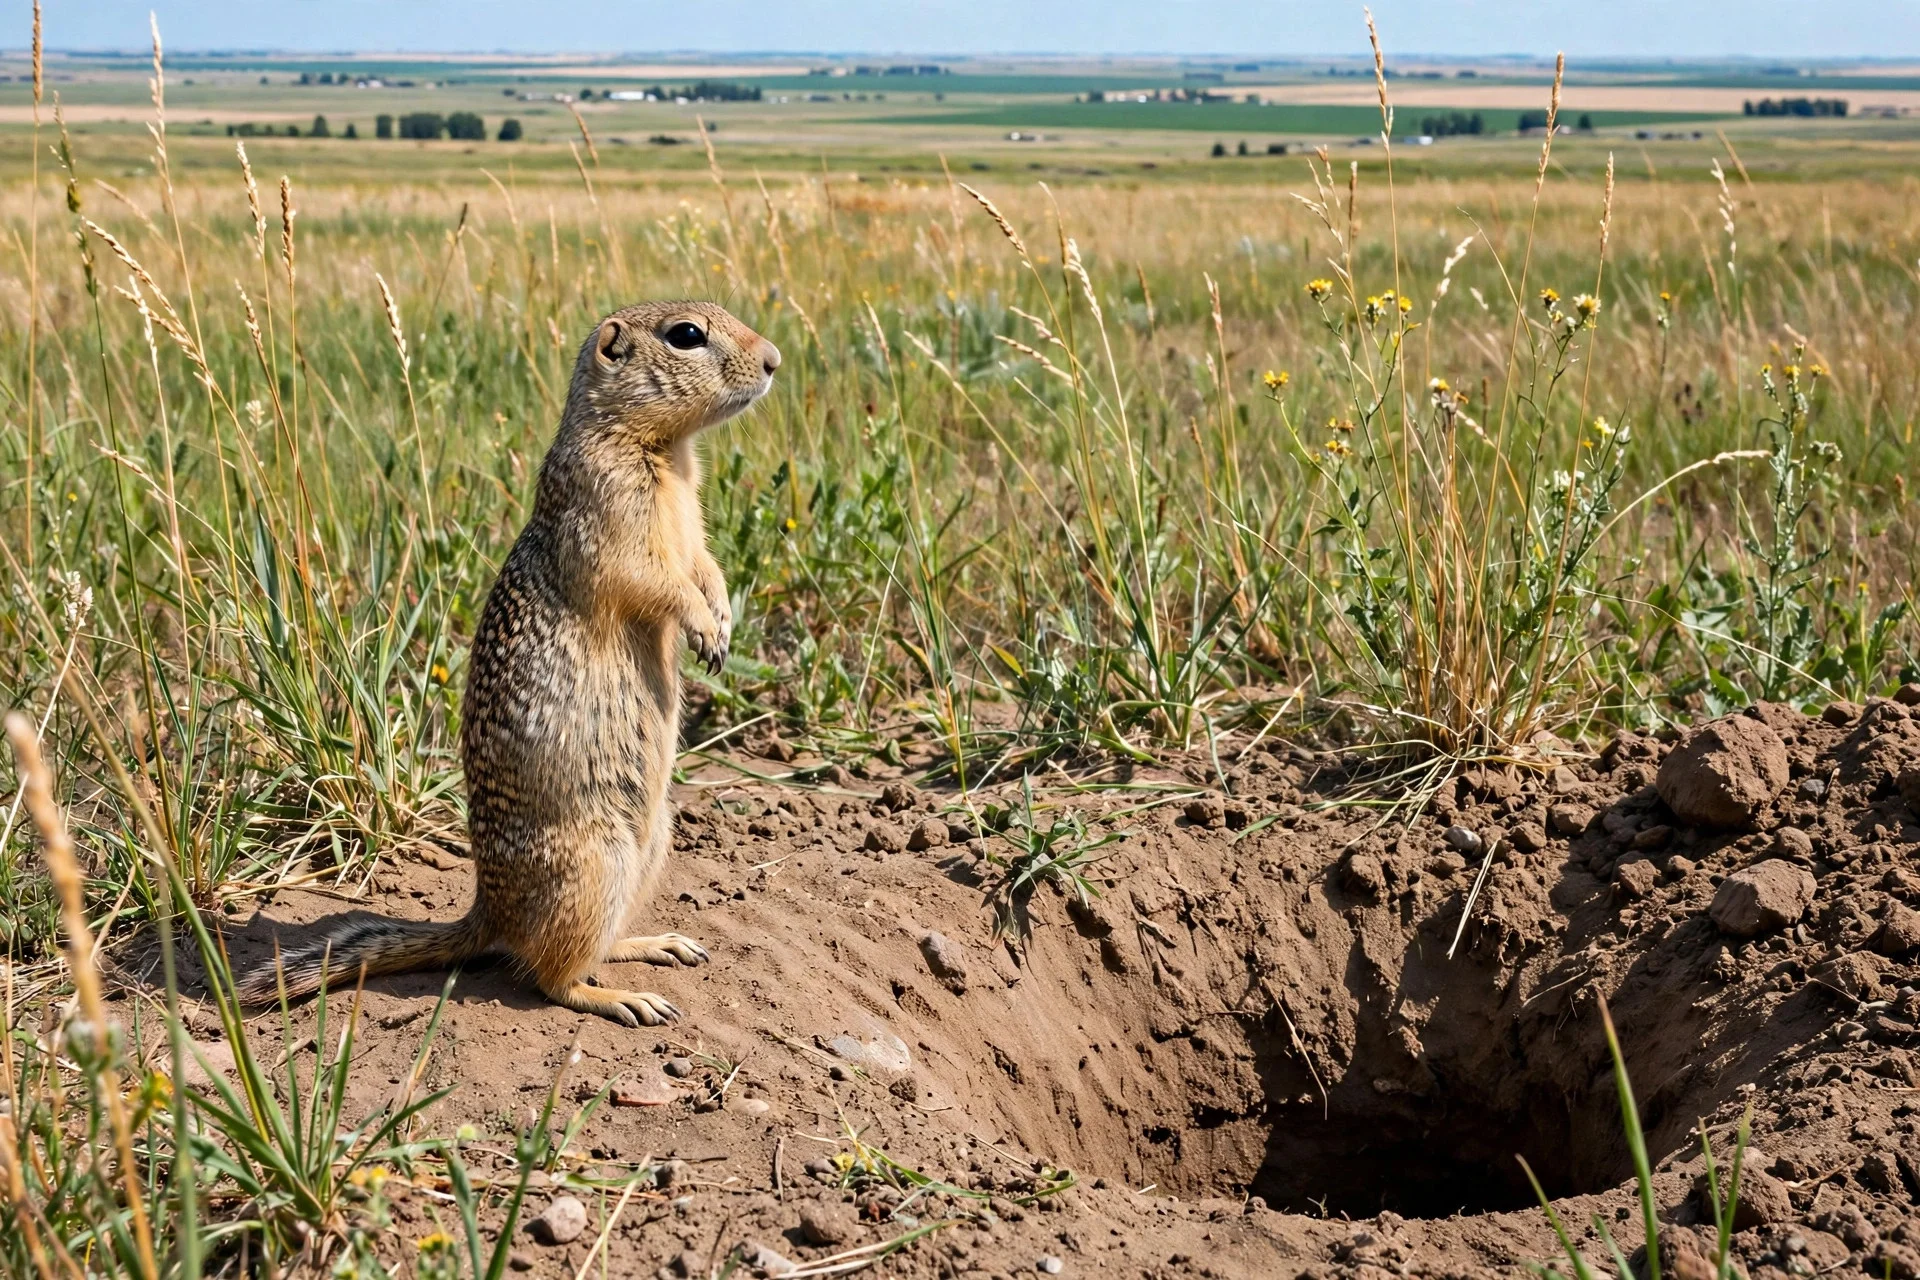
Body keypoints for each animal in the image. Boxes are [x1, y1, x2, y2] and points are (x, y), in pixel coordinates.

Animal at [238, 301, 781, 1026]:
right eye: (686, 335)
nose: (775, 359)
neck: (665, 452)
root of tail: (488, 911)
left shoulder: (691, 523)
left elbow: (705, 567)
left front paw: (721, 620)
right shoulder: (608, 514)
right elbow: (653, 581)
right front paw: (702, 627)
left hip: (653, 842)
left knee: (585, 948)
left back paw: (653, 944)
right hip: (593, 864)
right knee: (550, 977)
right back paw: (625, 998)